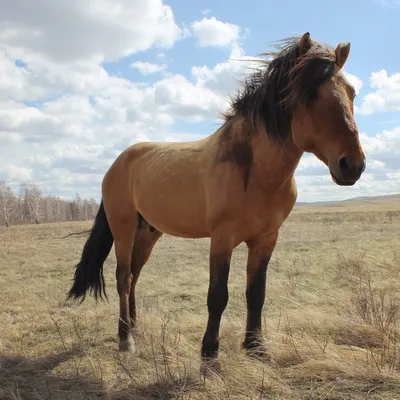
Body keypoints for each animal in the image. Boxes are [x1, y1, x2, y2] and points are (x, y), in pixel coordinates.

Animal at [67, 32, 368, 360]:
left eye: (352, 93)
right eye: (310, 94)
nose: (352, 165)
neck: (253, 170)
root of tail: (117, 163)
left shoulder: (266, 240)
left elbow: (256, 293)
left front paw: (256, 347)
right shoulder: (222, 239)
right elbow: (218, 295)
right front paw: (210, 351)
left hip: (148, 232)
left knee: (134, 274)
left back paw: (133, 324)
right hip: (123, 228)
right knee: (123, 277)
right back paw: (125, 338)